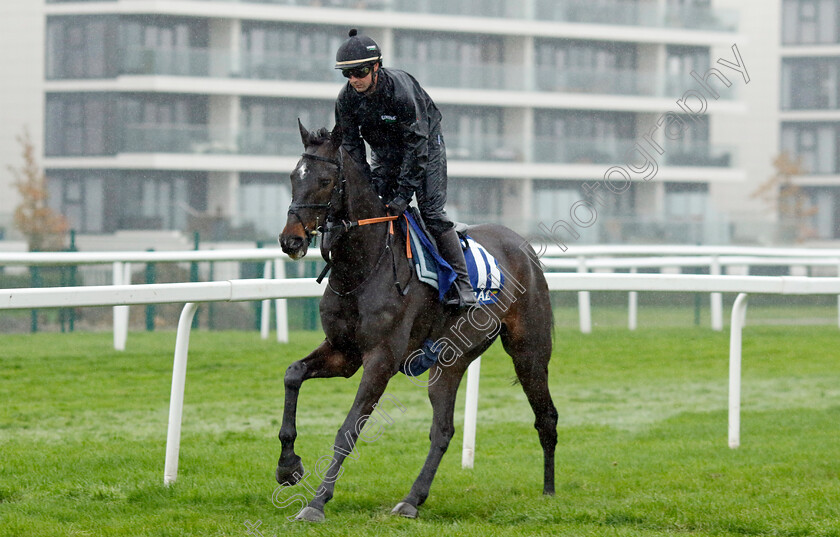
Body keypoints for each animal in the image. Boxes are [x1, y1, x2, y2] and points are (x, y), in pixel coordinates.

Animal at [276, 120, 556, 520]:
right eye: (293, 177)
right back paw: (412, 499)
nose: (291, 240)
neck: (363, 268)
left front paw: (316, 502)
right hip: (450, 361)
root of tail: (524, 246)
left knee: (546, 416)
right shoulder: (343, 352)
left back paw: (548, 492)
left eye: (326, 181)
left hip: (529, 351)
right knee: (443, 429)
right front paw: (288, 466)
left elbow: (348, 430)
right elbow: (293, 374)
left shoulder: (381, 358)